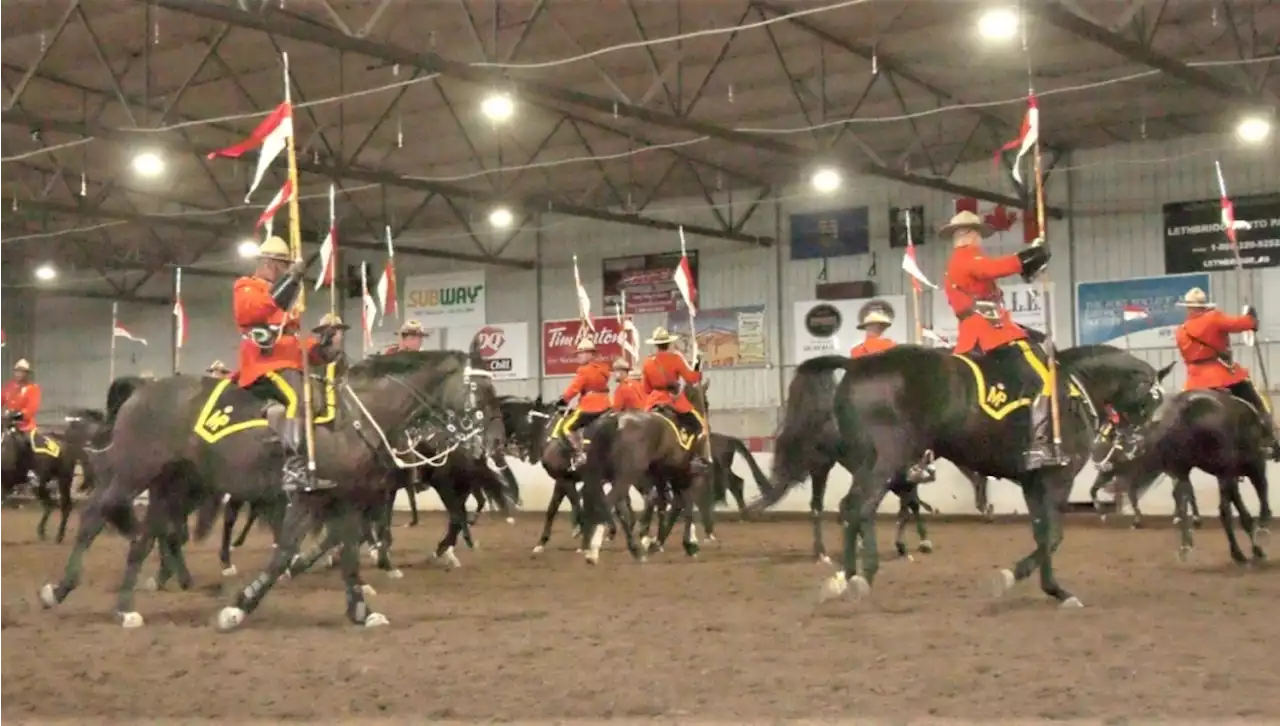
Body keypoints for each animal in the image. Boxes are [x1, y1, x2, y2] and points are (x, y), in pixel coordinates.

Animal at [747, 345, 1172, 606]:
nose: (1133, 446)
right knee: (858, 507)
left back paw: (845, 575)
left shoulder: (1034, 482)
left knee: (849, 509)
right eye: (1151, 402)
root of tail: (854, 365)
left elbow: (1042, 532)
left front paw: (1052, 589)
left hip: (870, 464)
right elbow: (1053, 535)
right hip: (885, 461)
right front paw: (1016, 577)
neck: (1071, 389)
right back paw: (861, 575)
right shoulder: (1057, 479)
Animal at [1105, 389, 1274, 565]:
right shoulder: (1252, 467)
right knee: (1225, 510)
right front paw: (1259, 540)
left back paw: (1186, 544)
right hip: (1230, 471)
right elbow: (1259, 497)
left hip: (1183, 471)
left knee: (1183, 499)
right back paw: (1241, 550)